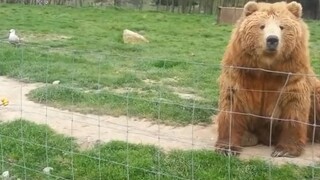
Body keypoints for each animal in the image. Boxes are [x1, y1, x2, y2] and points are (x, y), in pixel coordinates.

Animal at [214, 0, 320, 158]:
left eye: (282, 26)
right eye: (262, 26)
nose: (272, 40)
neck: (267, 67)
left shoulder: (291, 77)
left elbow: (294, 107)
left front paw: (284, 150)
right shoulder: (241, 73)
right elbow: (233, 105)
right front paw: (226, 147)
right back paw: (247, 137)